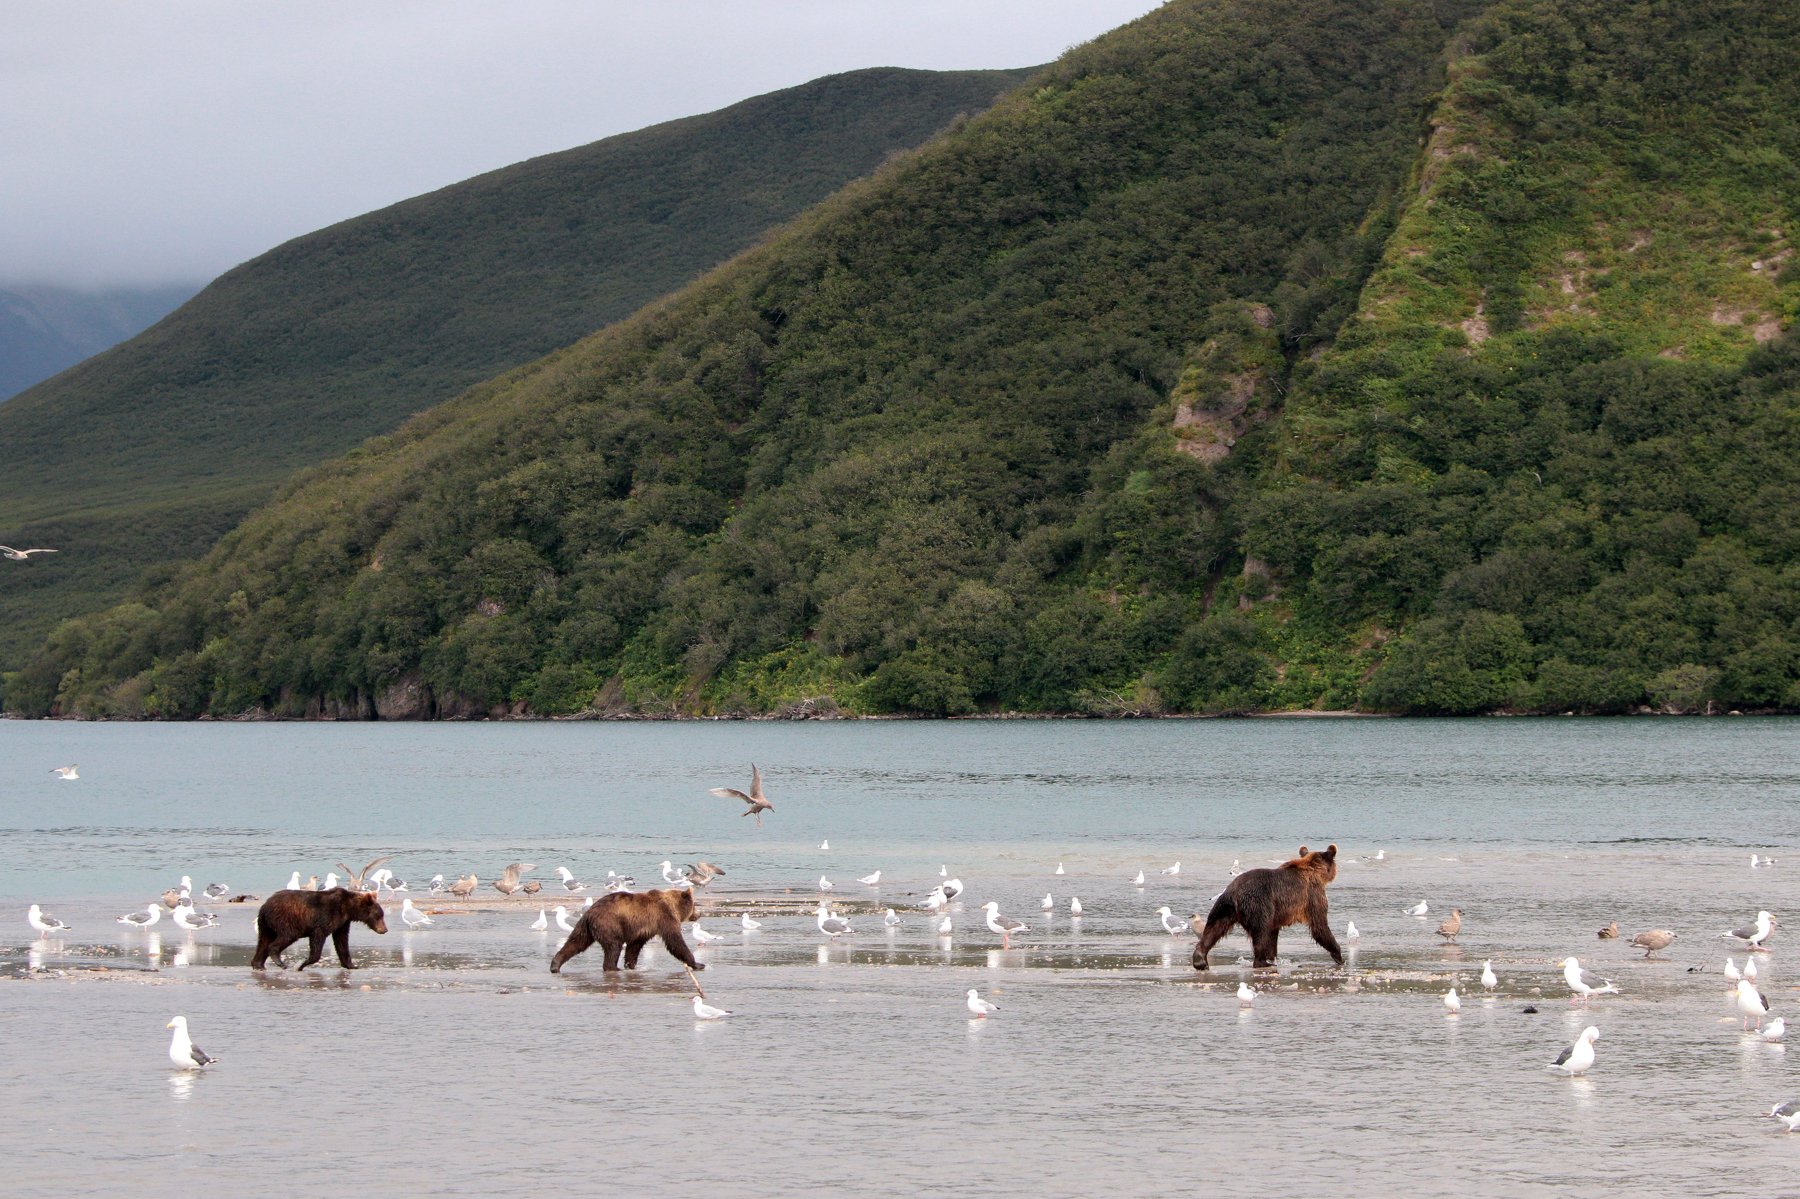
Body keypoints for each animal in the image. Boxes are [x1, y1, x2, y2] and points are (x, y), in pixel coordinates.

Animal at [252, 882, 388, 964]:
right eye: (379, 915)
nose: (385, 929)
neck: (348, 908)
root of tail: (264, 906)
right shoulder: (327, 915)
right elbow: (318, 936)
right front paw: (304, 963)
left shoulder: (343, 922)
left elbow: (342, 941)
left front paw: (351, 965)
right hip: (285, 919)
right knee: (288, 935)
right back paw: (278, 960)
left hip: (266, 924)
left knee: (263, 941)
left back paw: (258, 964)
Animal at [550, 885, 705, 972]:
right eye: (694, 904)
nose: (699, 914)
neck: (673, 907)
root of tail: (590, 913)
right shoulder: (664, 917)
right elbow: (675, 942)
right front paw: (697, 964)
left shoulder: (643, 929)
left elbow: (634, 947)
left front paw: (631, 965)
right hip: (610, 924)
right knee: (613, 946)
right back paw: (613, 967)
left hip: (585, 927)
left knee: (576, 942)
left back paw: (555, 965)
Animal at [1188, 846, 1346, 964]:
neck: (1316, 871)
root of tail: (1235, 893)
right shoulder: (1312, 895)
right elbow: (1319, 926)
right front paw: (1338, 955)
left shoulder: (1278, 912)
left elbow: (1273, 933)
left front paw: (1273, 956)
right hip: (1259, 904)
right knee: (1261, 932)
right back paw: (1261, 961)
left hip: (1224, 907)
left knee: (1214, 928)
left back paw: (1200, 959)